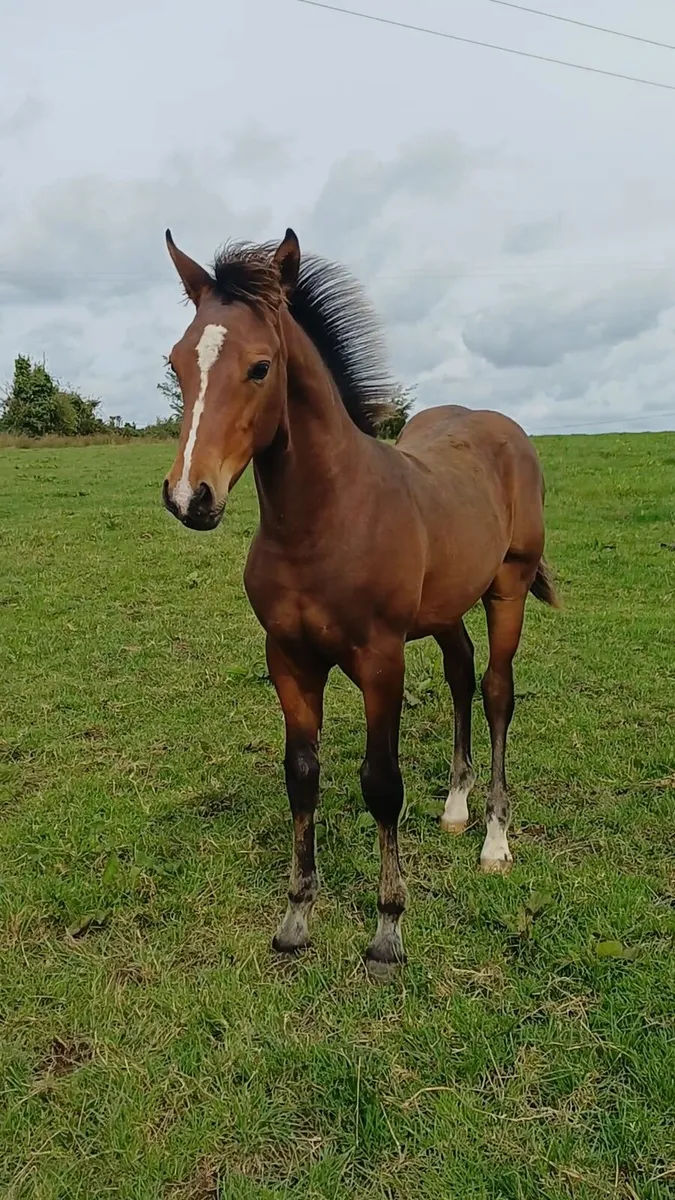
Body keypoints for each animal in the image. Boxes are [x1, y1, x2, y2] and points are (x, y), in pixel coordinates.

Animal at [162, 227, 558, 979]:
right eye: (176, 364)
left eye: (260, 368)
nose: (189, 498)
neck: (322, 522)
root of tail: (503, 428)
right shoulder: (288, 658)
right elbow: (301, 774)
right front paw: (295, 918)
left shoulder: (379, 660)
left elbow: (381, 782)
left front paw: (387, 929)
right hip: (444, 610)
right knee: (460, 674)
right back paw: (455, 808)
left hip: (508, 589)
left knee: (496, 691)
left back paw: (493, 839)